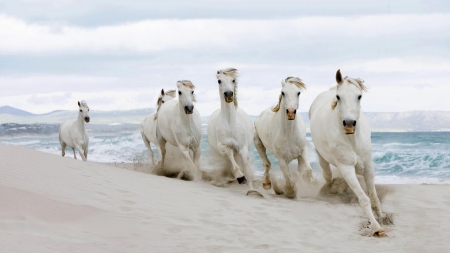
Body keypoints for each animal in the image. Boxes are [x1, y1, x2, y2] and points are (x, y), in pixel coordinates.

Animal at [207, 67, 260, 196]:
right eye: (219, 81)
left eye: (233, 80)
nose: (229, 94)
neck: (230, 123)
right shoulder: (222, 146)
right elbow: (229, 153)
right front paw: (240, 177)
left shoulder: (243, 148)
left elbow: (246, 167)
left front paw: (252, 191)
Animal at [310, 68, 386, 235]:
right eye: (338, 97)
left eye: (359, 96)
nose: (349, 124)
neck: (352, 141)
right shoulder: (347, 168)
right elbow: (364, 199)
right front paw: (376, 227)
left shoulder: (368, 167)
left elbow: (374, 197)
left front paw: (382, 219)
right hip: (323, 158)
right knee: (327, 175)